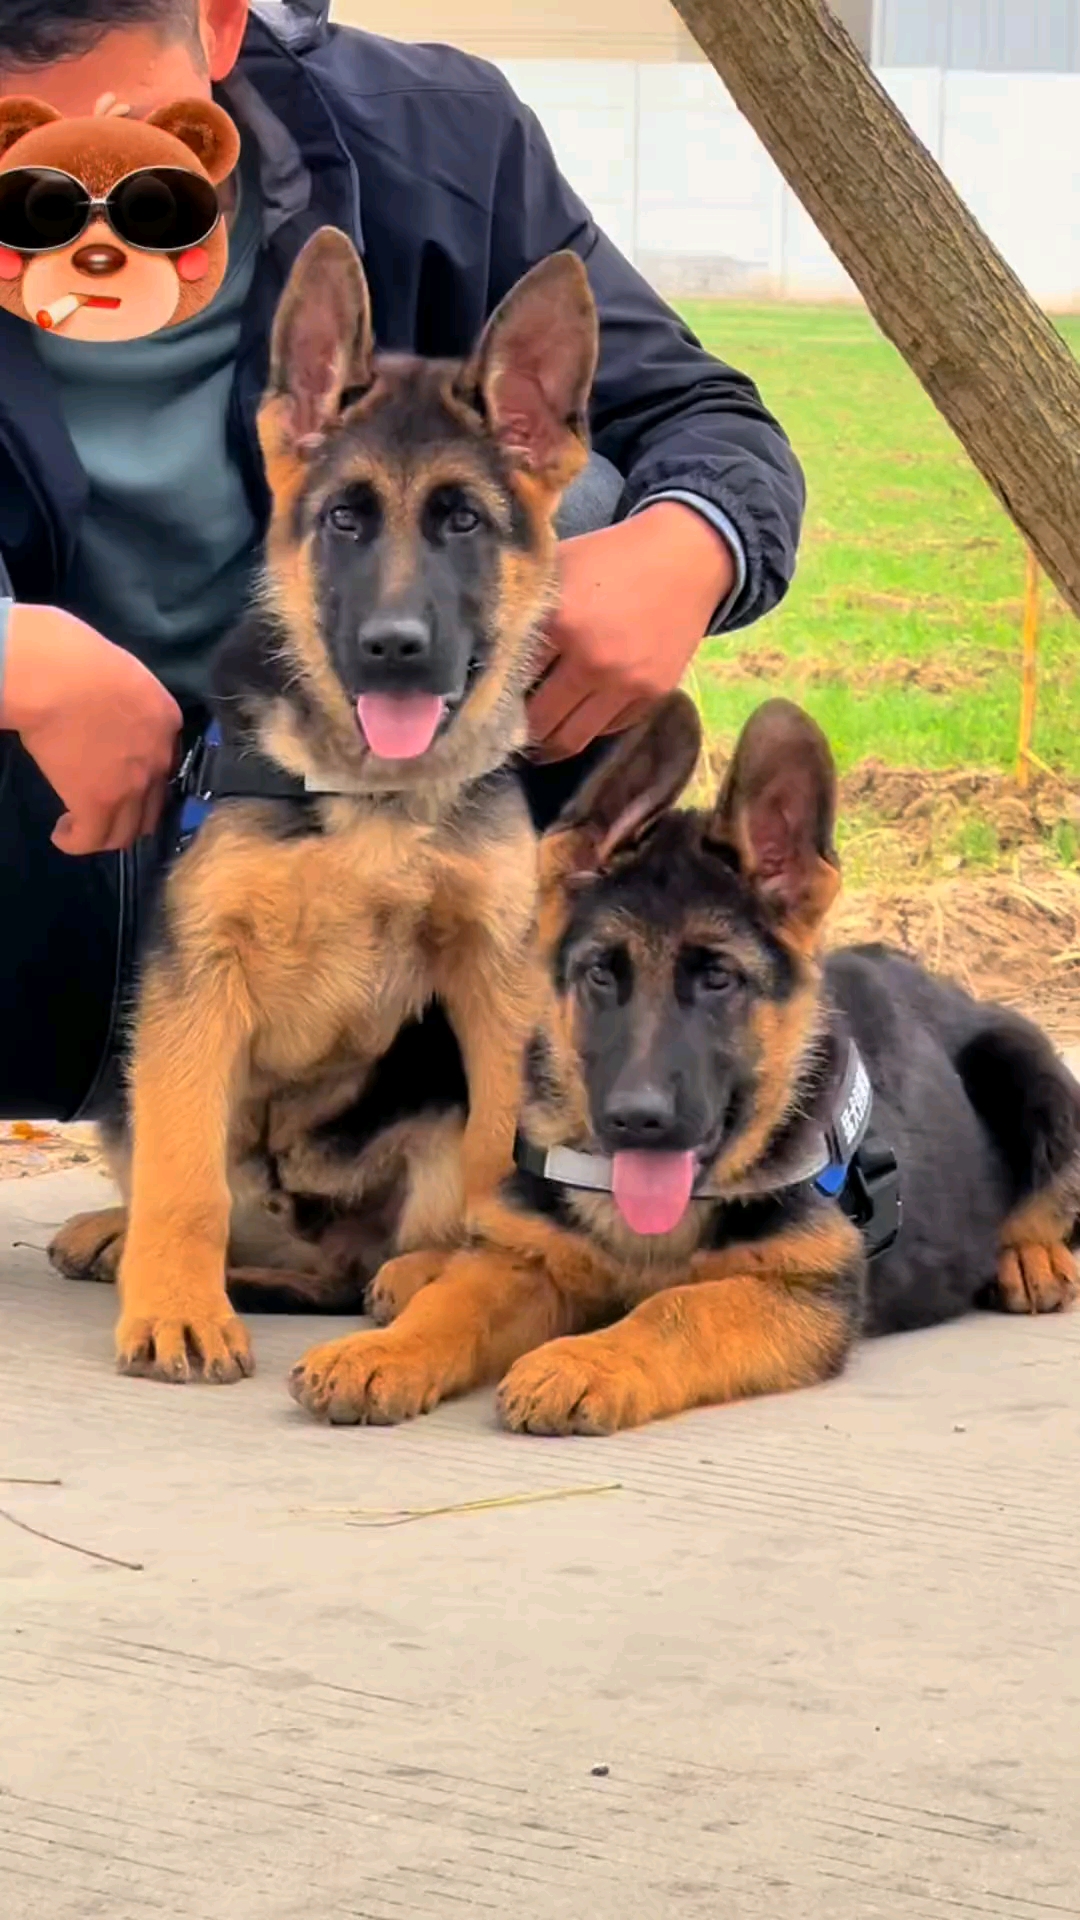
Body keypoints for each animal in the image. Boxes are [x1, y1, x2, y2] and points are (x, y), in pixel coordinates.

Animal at [48, 228, 595, 1382]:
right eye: (346, 519)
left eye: (463, 522)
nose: (394, 647)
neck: (369, 788)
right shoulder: (196, 980)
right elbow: (184, 1180)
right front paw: (174, 1306)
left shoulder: (493, 981)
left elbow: (495, 1149)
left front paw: (470, 1272)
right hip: (137, 1078)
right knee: (203, 1194)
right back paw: (133, 1244)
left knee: (372, 1254)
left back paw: (406, 1269)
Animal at [288, 698, 1076, 1436]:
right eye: (601, 974)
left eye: (719, 979)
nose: (638, 1120)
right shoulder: (529, 1261)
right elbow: (456, 1303)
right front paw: (384, 1352)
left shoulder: (796, 1291)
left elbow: (673, 1311)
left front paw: (584, 1362)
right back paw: (421, 1267)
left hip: (1029, 1063)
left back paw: (1030, 1257)